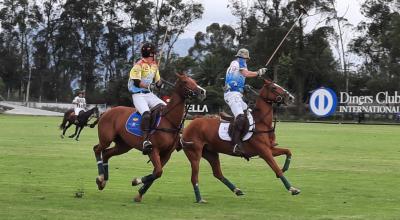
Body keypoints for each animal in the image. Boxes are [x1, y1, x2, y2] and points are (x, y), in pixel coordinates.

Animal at [93, 73, 206, 202]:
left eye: (194, 81)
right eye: (185, 81)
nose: (202, 92)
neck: (169, 121)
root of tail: (106, 112)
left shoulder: (167, 154)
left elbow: (156, 173)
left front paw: (139, 194)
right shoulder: (153, 150)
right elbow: (158, 172)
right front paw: (136, 181)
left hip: (123, 145)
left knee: (106, 153)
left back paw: (103, 181)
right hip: (106, 139)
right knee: (97, 149)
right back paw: (100, 178)